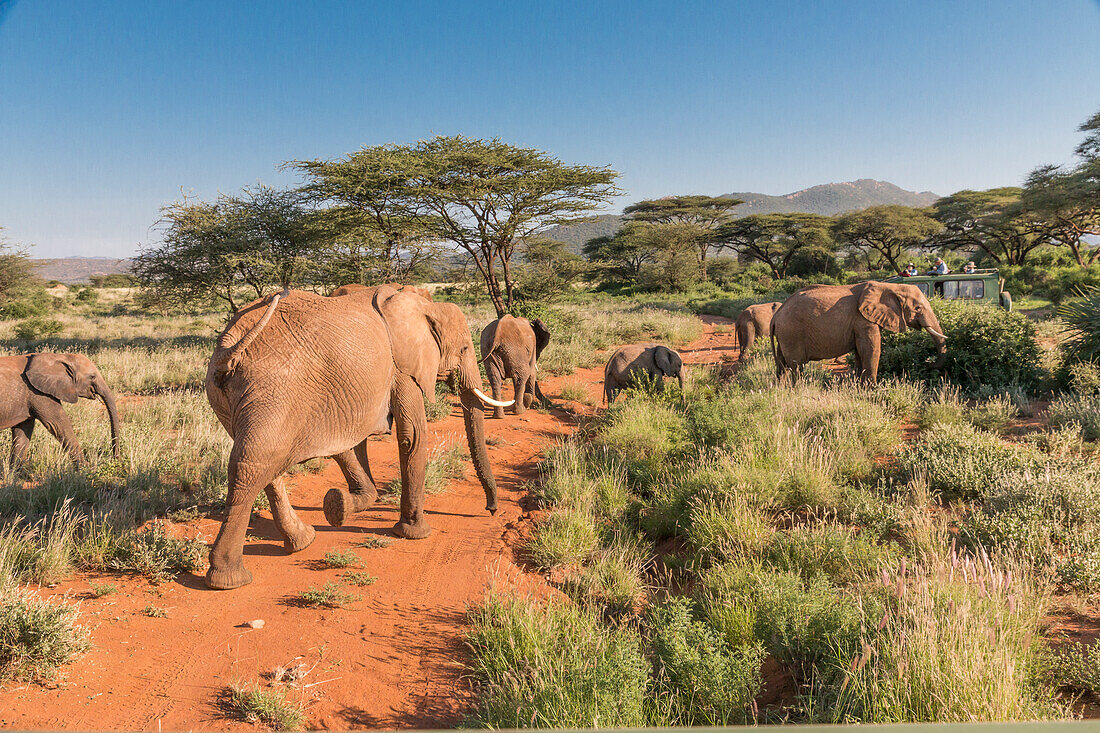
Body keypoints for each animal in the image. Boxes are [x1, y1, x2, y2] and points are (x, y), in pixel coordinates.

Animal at [204, 286, 512, 589]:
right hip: (272, 388)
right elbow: (412, 436)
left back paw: (303, 542)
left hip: (230, 397)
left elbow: (351, 444)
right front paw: (414, 533)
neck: (423, 306)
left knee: (264, 462)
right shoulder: (402, 367)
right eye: (464, 349)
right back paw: (229, 579)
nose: (491, 510)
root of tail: (229, 348)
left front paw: (337, 506)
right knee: (251, 466)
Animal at [770, 279, 950, 383]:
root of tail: (776, 314)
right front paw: (872, 390)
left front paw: (858, 386)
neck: (890, 286)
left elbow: (860, 352)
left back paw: (782, 389)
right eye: (918, 308)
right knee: (796, 366)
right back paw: (799, 388)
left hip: (784, 335)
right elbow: (871, 350)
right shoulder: (863, 320)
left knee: (782, 365)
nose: (929, 365)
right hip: (791, 333)